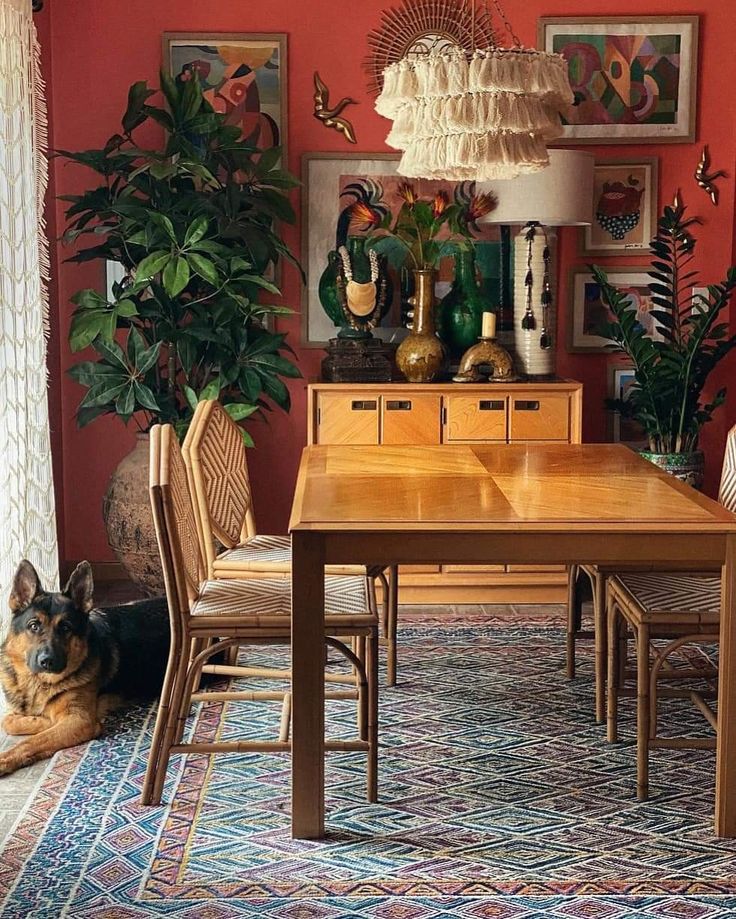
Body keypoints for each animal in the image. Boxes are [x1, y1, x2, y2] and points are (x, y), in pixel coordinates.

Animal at [0, 560, 168, 776]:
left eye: (66, 628)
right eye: (34, 626)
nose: (47, 661)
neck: (38, 682)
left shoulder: (80, 721)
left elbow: (30, 741)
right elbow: (9, 721)